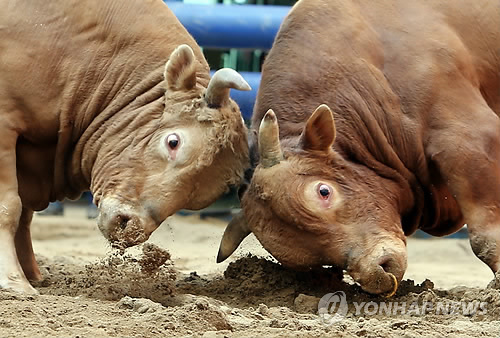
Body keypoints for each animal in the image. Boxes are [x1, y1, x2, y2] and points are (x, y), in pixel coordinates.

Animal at [0, 0, 250, 294]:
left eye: (198, 197)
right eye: (173, 142)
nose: (128, 228)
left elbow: (24, 216)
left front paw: (33, 274)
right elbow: (10, 207)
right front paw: (14, 281)